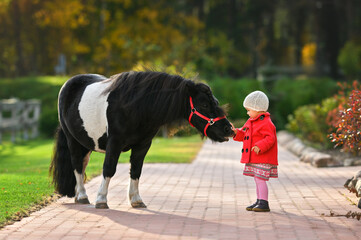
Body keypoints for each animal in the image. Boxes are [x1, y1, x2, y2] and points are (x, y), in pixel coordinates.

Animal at [49, 71, 232, 208]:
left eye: (215, 101)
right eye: (204, 105)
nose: (228, 129)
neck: (134, 106)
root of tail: (68, 84)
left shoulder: (143, 146)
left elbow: (136, 170)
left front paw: (136, 200)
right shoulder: (114, 143)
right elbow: (109, 168)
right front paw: (101, 200)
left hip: (86, 143)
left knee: (82, 164)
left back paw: (78, 195)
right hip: (73, 141)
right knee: (77, 165)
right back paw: (82, 196)